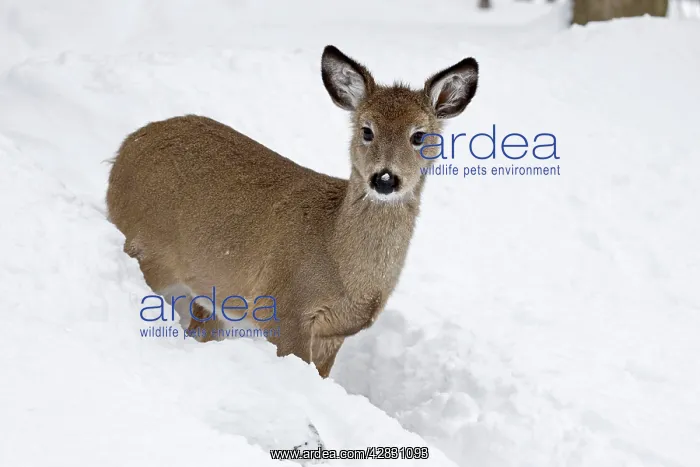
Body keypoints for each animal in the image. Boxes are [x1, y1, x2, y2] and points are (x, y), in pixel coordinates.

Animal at [106, 45, 479, 378]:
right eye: (366, 130)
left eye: (419, 136)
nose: (384, 178)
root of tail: (123, 150)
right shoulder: (283, 308)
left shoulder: (334, 333)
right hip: (149, 248)